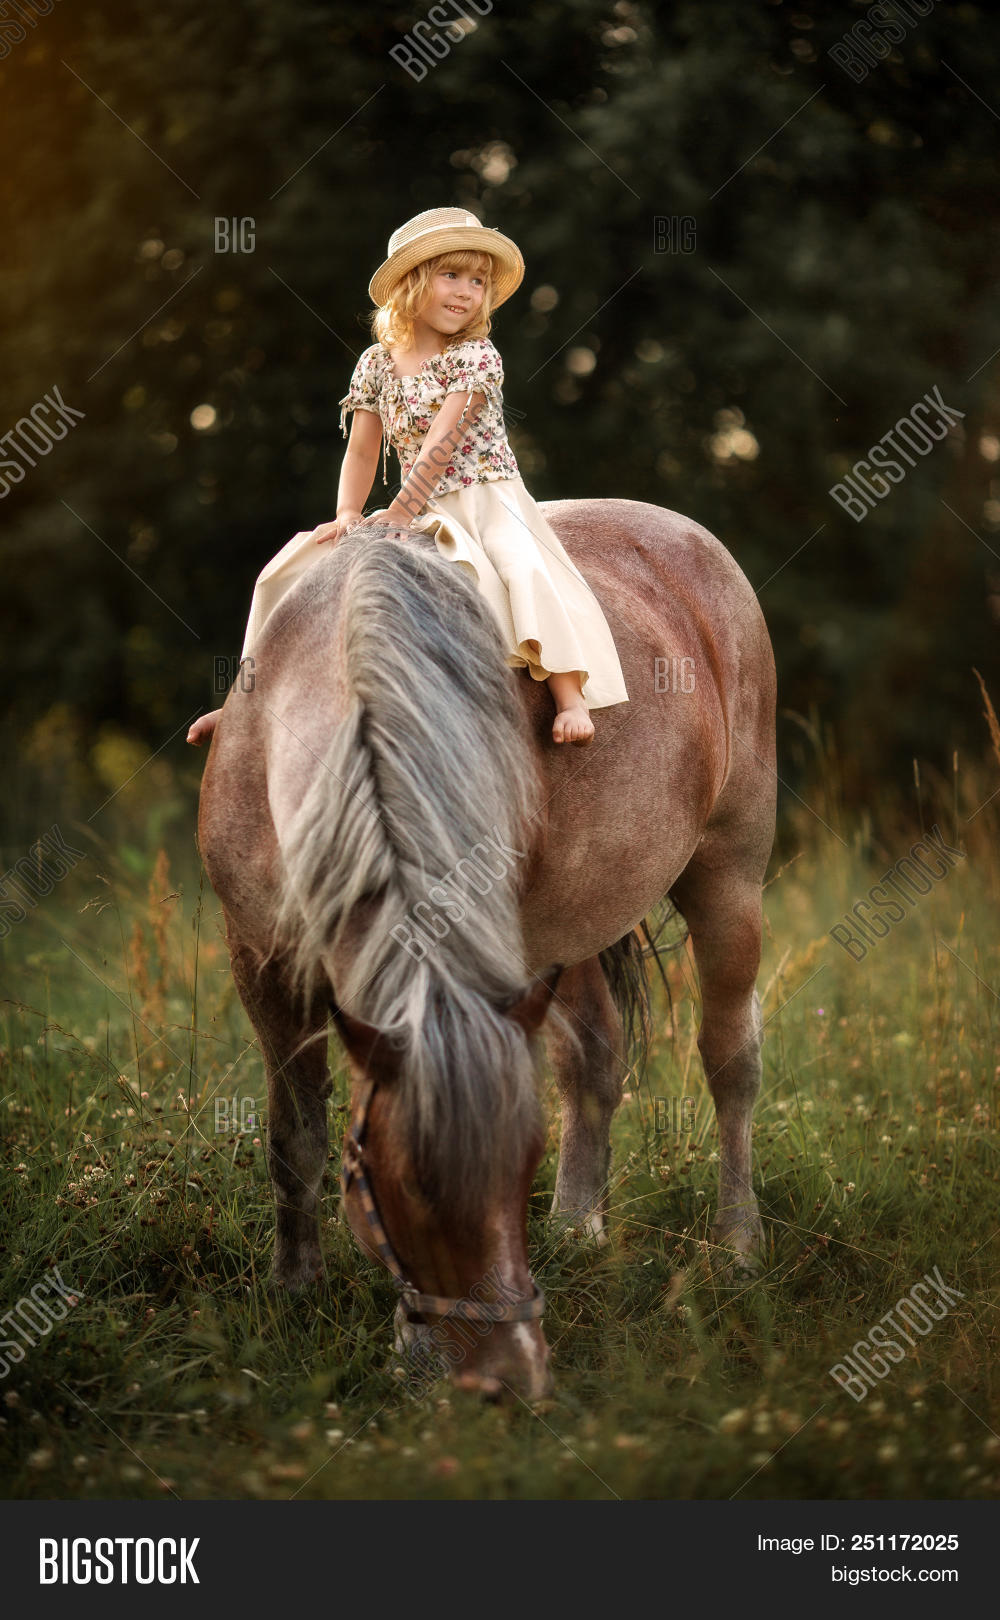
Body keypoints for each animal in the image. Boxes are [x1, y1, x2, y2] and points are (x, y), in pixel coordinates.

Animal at [196, 498, 776, 1400]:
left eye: (519, 1163)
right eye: (401, 1183)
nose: (510, 1371)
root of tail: (685, 536)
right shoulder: (261, 963)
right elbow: (294, 1137)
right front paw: (294, 1293)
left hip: (730, 878)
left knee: (731, 1063)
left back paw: (739, 1243)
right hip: (568, 929)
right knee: (595, 1058)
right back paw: (577, 1227)